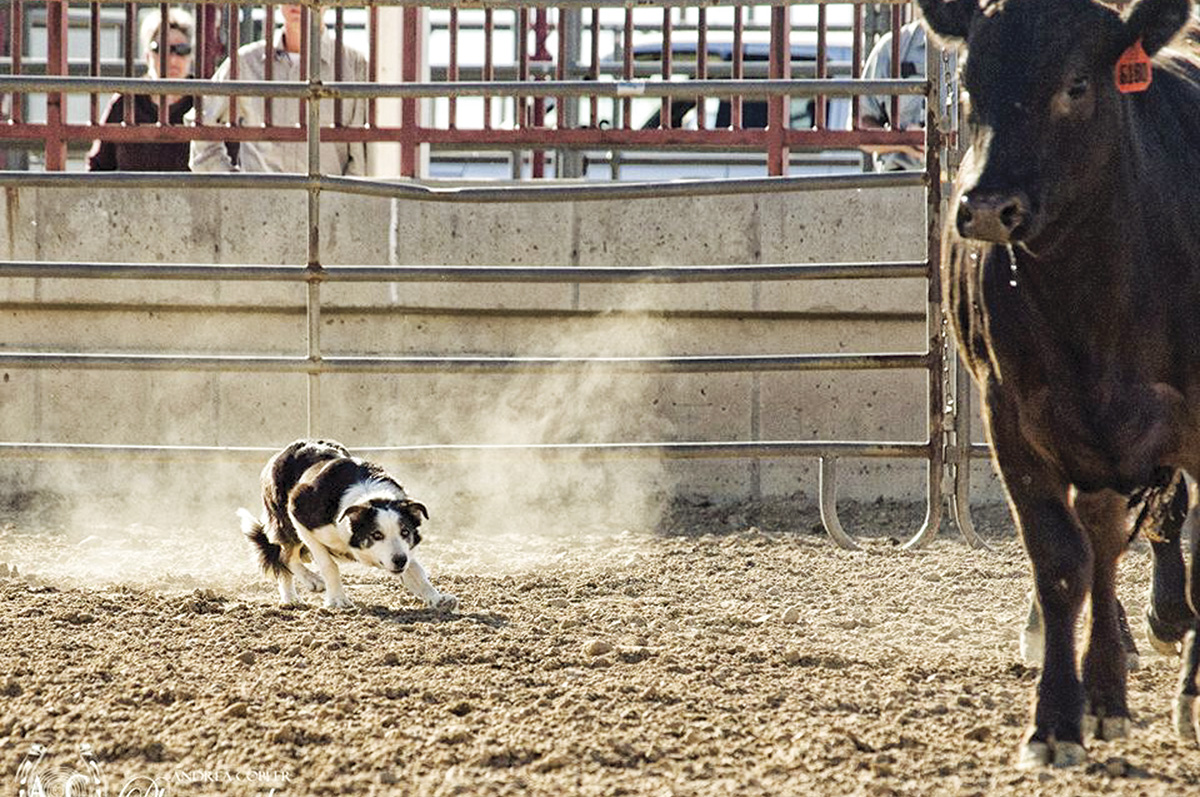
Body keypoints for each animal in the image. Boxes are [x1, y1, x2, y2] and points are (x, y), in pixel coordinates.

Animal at [236, 439, 456, 612]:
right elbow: (328, 565)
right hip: (285, 523)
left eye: (405, 532)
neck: (369, 496)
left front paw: (438, 599)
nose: (399, 560)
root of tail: (281, 454)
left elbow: (416, 570)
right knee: (284, 556)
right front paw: (337, 600)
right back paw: (296, 594)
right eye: (376, 535)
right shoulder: (299, 514)